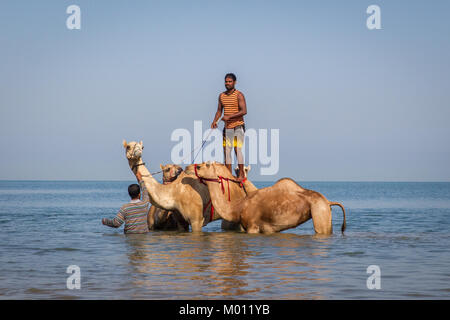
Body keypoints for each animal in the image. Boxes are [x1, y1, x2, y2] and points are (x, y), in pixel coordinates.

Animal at [194, 162, 348, 232]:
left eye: (207, 164)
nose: (196, 166)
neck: (237, 208)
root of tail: (328, 201)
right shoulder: (267, 229)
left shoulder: (252, 227)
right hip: (325, 213)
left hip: (319, 211)